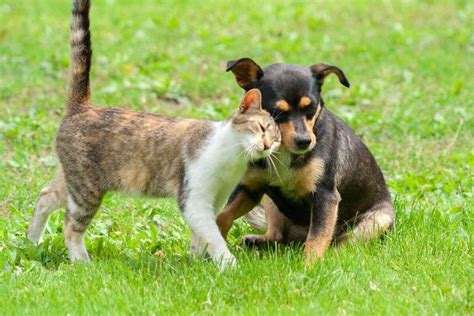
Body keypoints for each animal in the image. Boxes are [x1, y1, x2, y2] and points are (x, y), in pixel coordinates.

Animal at [27, 0, 280, 268]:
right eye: (261, 128)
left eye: (276, 140)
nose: (267, 145)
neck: (232, 159)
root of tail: (82, 106)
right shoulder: (194, 199)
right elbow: (213, 235)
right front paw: (227, 264)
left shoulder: (216, 198)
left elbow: (200, 236)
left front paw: (196, 259)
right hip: (87, 189)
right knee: (70, 227)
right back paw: (82, 262)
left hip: (73, 180)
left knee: (44, 196)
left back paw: (33, 240)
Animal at [217, 57, 394, 264]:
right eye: (277, 112)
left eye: (311, 108)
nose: (304, 141)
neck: (283, 150)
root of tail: (297, 238)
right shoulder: (250, 188)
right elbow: (222, 216)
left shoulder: (325, 196)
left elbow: (317, 238)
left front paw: (310, 267)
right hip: (270, 202)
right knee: (278, 236)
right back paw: (257, 241)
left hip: (377, 220)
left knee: (341, 244)